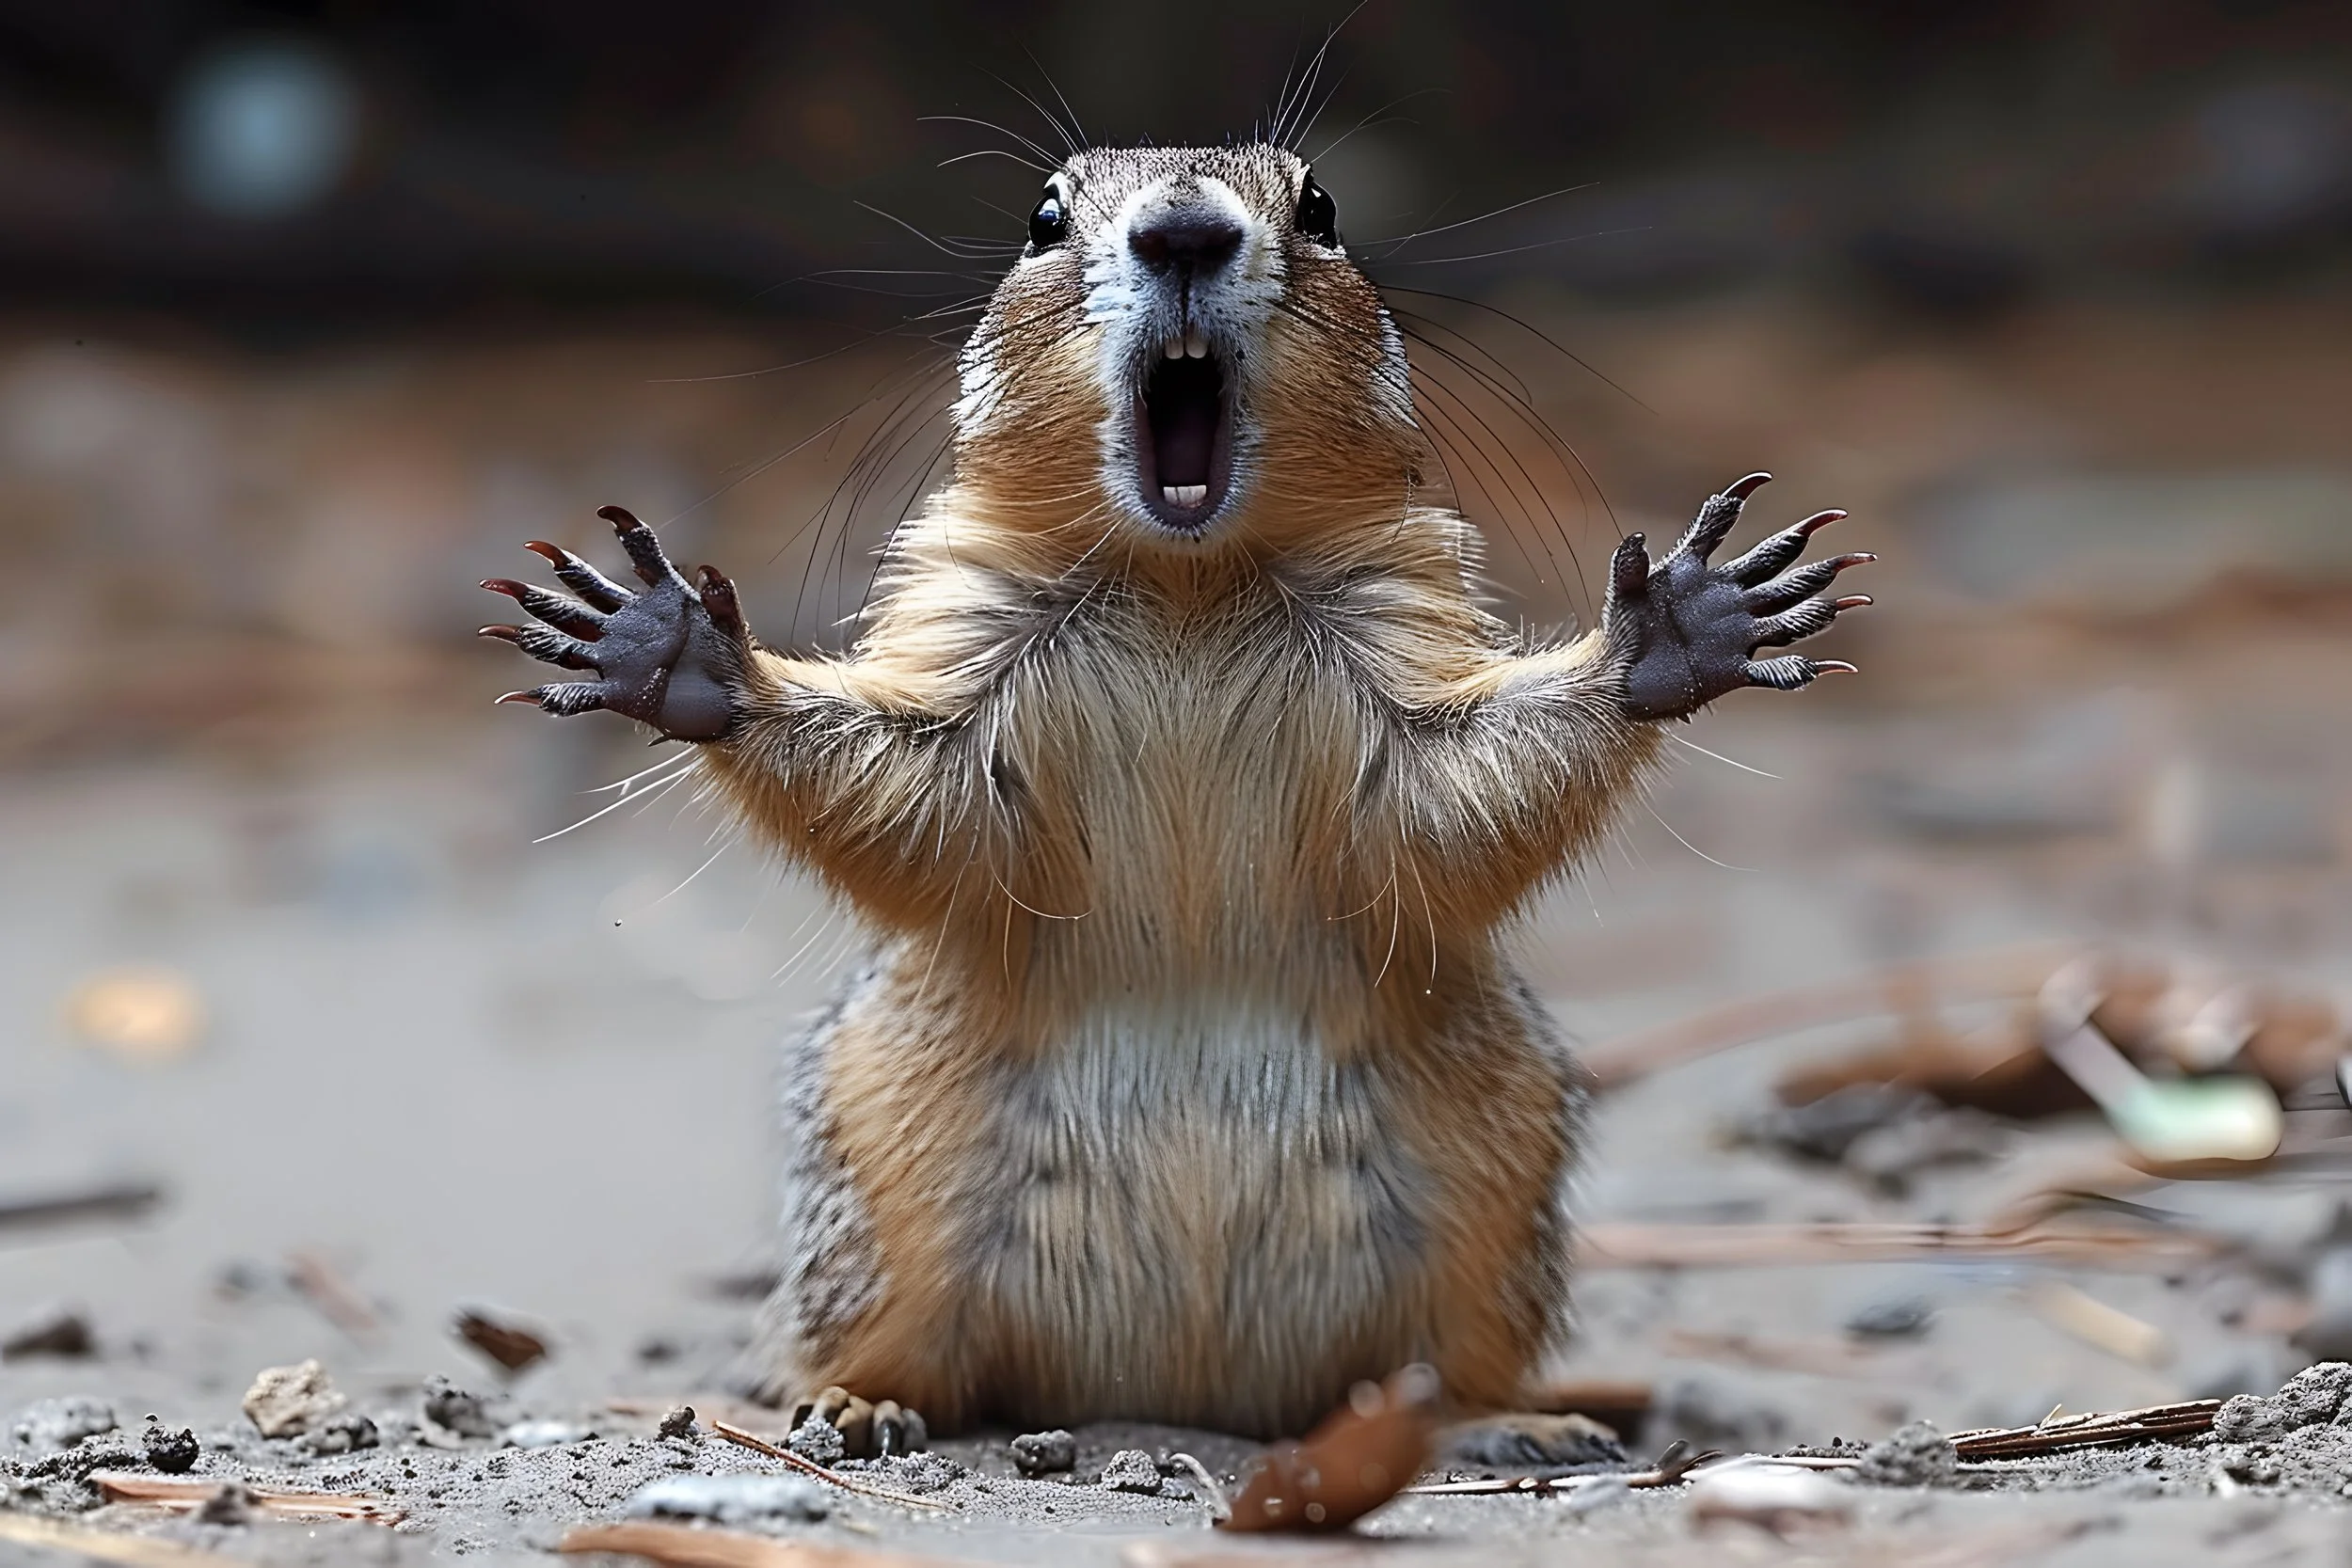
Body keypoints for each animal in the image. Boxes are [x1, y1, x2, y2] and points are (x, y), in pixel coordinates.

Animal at [481, 142, 1869, 1455]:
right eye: (1043, 217)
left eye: (1321, 207)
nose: (1188, 228)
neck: (1183, 581)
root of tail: (1172, 1388)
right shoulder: (974, 669)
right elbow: (916, 793)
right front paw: (674, 650)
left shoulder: (1389, 682)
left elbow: (1451, 796)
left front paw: (1676, 628)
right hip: (883, 1189)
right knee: (892, 1349)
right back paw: (853, 1405)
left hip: (1494, 1183)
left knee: (1431, 1363)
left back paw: (1505, 1419)